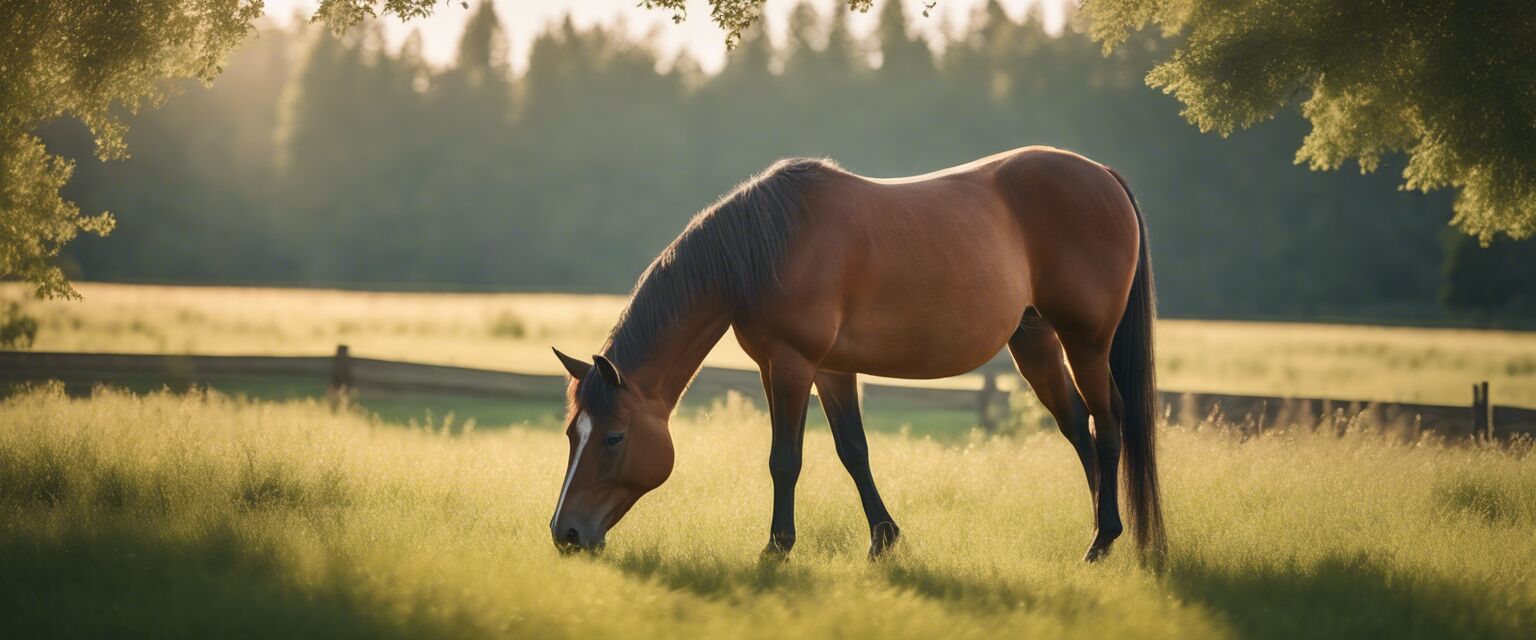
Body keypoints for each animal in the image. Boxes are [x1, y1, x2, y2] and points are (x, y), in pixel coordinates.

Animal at [552, 144, 1161, 558]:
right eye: (571, 434)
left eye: (613, 437)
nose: (565, 533)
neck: (765, 249)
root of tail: (1103, 176)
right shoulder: (824, 370)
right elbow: (853, 451)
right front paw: (884, 540)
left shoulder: (792, 365)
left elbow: (785, 459)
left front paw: (776, 548)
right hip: (1036, 341)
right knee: (1078, 425)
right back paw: (1104, 529)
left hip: (1087, 343)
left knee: (1109, 424)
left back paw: (1103, 540)